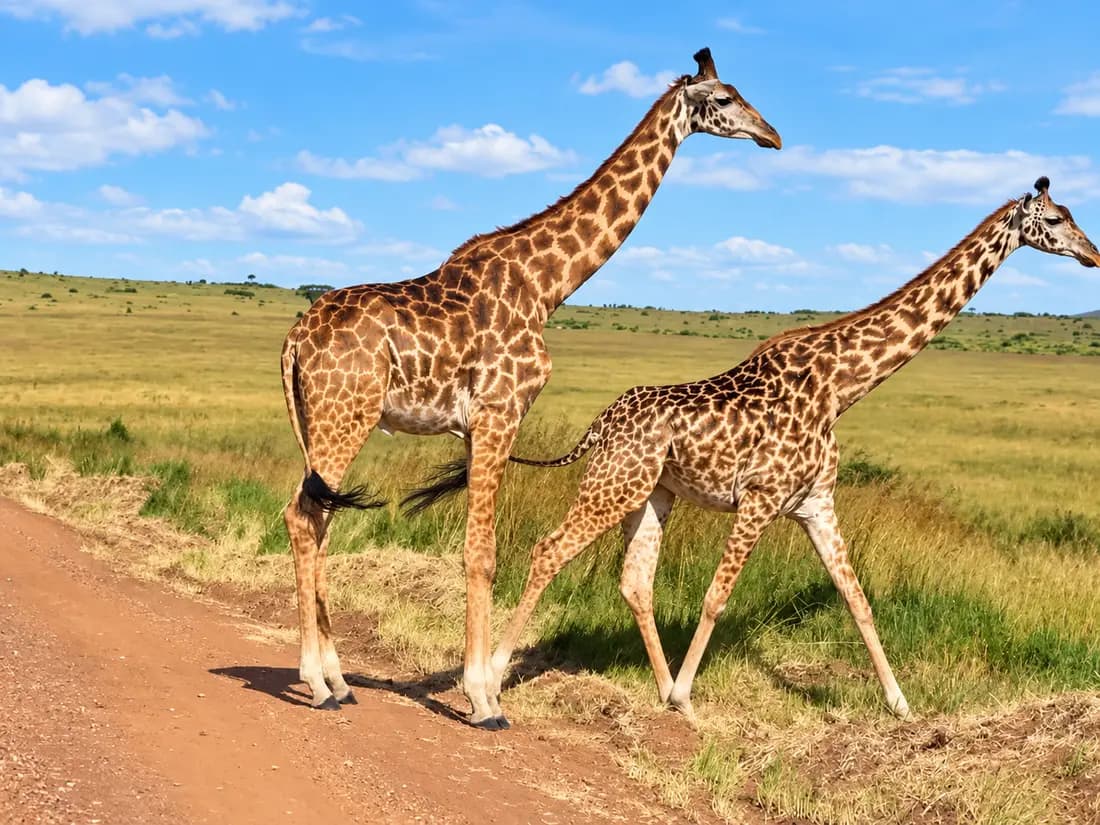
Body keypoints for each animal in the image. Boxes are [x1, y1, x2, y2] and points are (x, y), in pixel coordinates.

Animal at [281, 47, 781, 728]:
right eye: (726, 99)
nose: (772, 136)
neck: (547, 285)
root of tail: (293, 340)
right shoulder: (500, 412)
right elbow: (482, 552)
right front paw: (483, 698)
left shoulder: (476, 426)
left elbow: (479, 547)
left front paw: (481, 688)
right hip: (345, 414)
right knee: (304, 517)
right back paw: (317, 683)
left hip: (322, 421)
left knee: (318, 519)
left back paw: (337, 679)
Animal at [409, 177, 1100, 722]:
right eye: (1056, 219)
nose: (1092, 255)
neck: (841, 385)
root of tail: (600, 425)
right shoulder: (761, 499)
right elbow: (717, 596)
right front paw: (686, 697)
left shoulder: (816, 503)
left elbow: (858, 600)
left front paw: (902, 706)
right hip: (615, 484)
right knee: (550, 549)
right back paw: (496, 679)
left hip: (653, 495)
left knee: (634, 580)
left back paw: (650, 684)